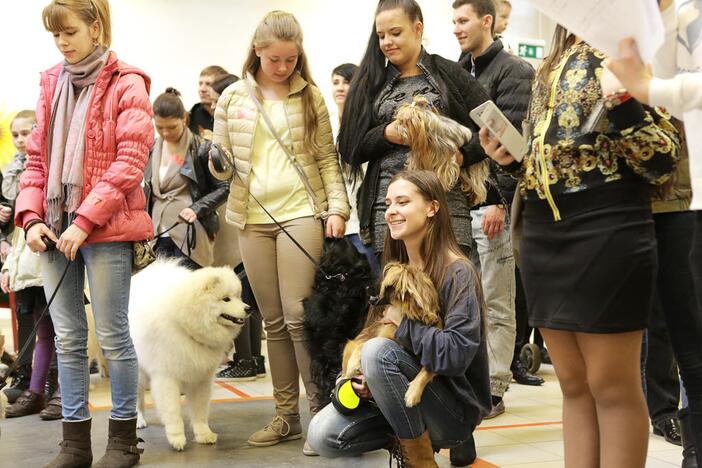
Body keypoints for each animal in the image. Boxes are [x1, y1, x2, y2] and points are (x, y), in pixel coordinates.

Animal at [130, 258, 250, 452]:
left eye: (239, 296)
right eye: (226, 298)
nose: (249, 308)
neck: (186, 325)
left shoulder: (201, 378)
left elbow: (200, 411)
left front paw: (204, 434)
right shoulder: (167, 377)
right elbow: (172, 411)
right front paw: (176, 438)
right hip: (137, 370)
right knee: (137, 398)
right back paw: (139, 420)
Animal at [344, 262, 442, 408]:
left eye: (384, 285)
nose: (366, 286)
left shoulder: (434, 356)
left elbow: (428, 370)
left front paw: (414, 391)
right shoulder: (382, 335)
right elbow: (363, 345)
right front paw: (352, 366)